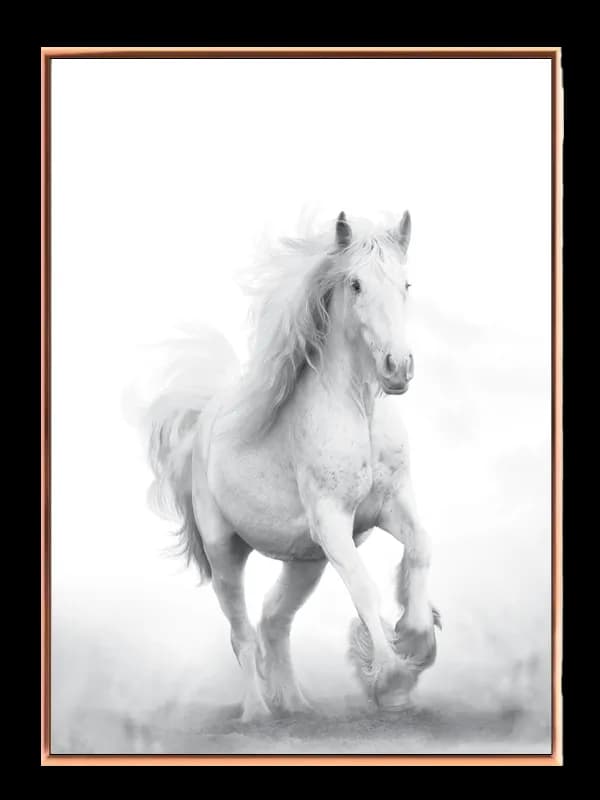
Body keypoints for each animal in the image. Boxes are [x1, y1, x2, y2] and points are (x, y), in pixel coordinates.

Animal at [143, 210, 441, 721]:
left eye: (406, 284)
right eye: (356, 284)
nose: (397, 367)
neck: (359, 412)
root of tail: (201, 427)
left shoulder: (390, 505)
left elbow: (420, 546)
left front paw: (417, 637)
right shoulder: (334, 523)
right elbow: (364, 589)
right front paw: (391, 680)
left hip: (306, 562)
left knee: (273, 620)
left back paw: (298, 707)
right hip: (225, 554)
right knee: (242, 633)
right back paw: (257, 714)